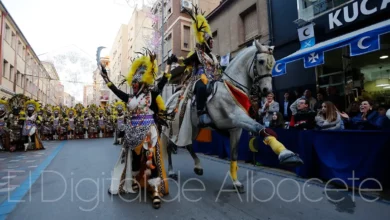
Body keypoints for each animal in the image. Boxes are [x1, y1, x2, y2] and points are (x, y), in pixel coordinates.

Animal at [161, 41, 302, 192]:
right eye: (261, 61)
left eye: (274, 62)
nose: (267, 91)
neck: (232, 88)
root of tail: (171, 100)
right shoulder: (237, 117)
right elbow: (260, 127)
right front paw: (287, 155)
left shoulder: (236, 128)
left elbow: (234, 154)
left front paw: (236, 182)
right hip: (175, 128)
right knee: (169, 146)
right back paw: (171, 171)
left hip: (193, 128)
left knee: (188, 145)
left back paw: (198, 167)